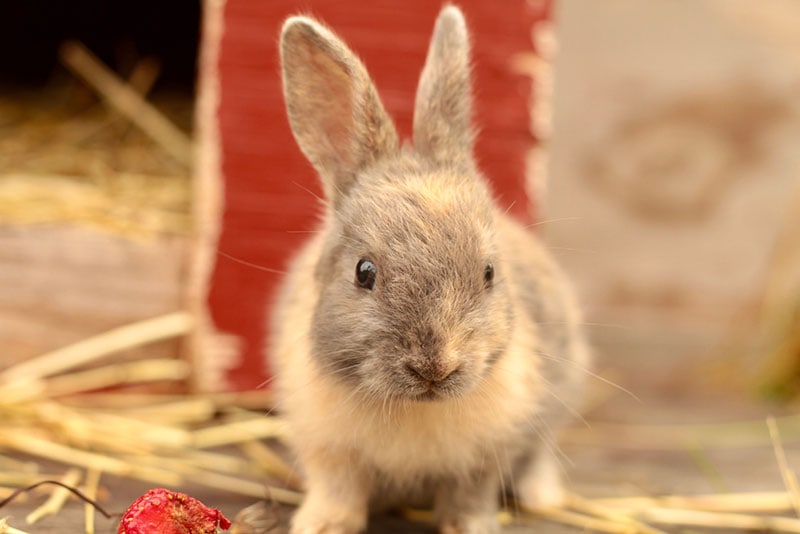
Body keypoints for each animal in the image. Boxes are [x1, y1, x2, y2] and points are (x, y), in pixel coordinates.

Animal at [270, 5, 590, 534]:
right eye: (364, 272)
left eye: (488, 273)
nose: (434, 367)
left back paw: (543, 498)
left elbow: (469, 496)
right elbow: (338, 490)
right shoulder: (329, 451)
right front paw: (322, 524)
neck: (414, 407)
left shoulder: (487, 455)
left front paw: (470, 528)